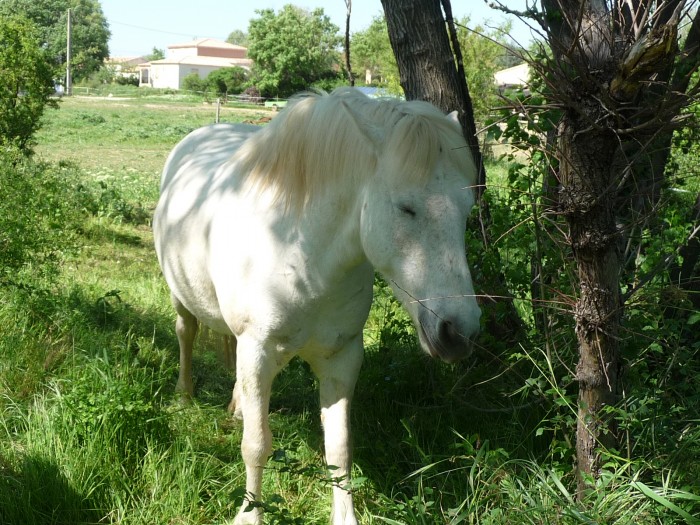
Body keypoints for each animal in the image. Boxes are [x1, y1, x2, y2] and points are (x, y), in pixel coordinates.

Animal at [153, 88, 482, 520]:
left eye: (467, 212)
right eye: (406, 207)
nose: (459, 332)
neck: (300, 255)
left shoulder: (342, 358)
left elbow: (339, 450)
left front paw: (345, 516)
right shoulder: (258, 352)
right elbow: (256, 446)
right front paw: (250, 514)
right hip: (181, 298)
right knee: (186, 334)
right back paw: (184, 395)